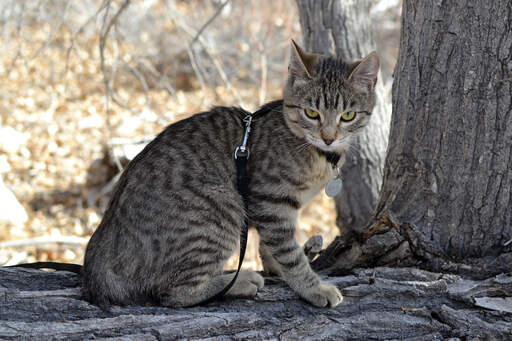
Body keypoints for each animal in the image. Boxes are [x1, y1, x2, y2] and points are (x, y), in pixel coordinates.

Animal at [83, 40, 380, 308]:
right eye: (311, 112)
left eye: (348, 115)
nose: (329, 138)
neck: (316, 153)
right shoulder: (270, 201)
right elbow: (289, 253)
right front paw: (313, 288)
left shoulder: (278, 208)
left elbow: (271, 245)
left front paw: (275, 267)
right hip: (221, 208)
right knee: (173, 294)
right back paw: (238, 282)